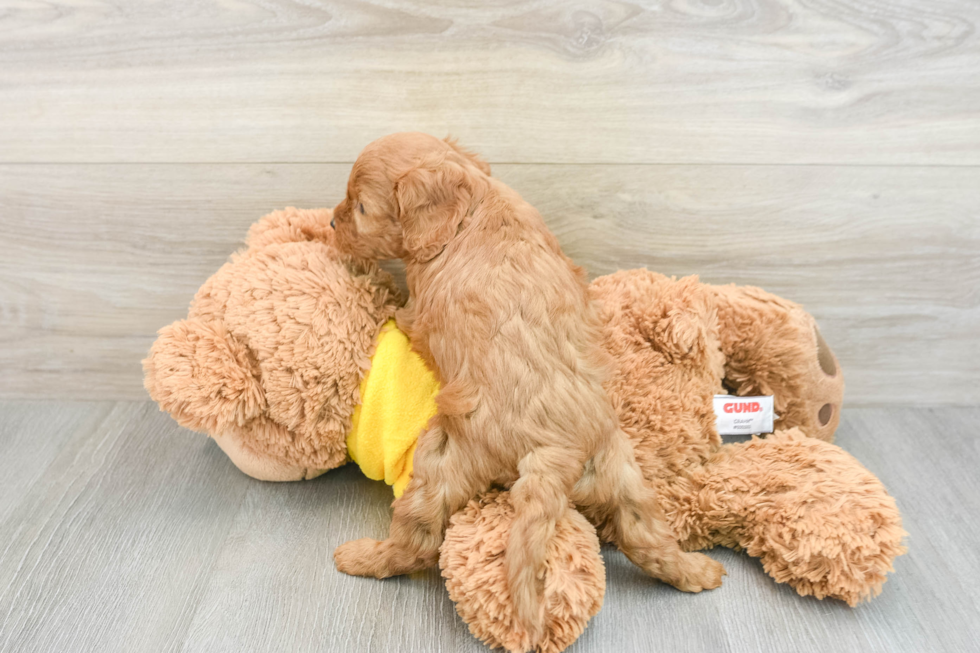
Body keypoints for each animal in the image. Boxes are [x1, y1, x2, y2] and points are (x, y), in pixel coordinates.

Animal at [334, 132, 724, 636]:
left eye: (361, 207)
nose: (330, 221)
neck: (474, 202)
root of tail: (559, 453)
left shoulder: (419, 310)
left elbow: (405, 313)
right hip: (622, 470)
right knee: (645, 535)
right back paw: (697, 571)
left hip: (444, 461)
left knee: (417, 541)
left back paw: (362, 557)